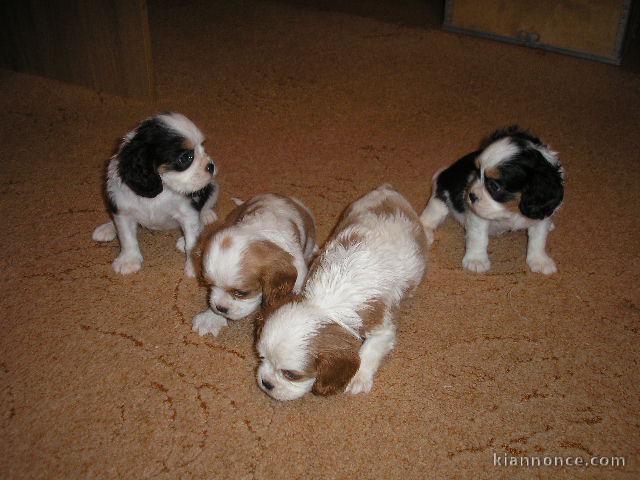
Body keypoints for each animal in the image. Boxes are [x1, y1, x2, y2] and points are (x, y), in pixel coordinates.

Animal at [91, 112, 219, 276]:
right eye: (185, 157)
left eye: (203, 148)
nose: (211, 166)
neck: (163, 188)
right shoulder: (122, 209)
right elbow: (126, 237)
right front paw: (129, 260)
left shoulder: (188, 213)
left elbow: (191, 241)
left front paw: (193, 265)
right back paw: (107, 228)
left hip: (213, 187)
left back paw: (205, 217)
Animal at [254, 186, 424, 400]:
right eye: (261, 357)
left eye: (291, 375)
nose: (266, 383)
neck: (325, 304)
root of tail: (387, 190)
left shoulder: (381, 328)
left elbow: (371, 349)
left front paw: (358, 377)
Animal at [422, 124, 564, 274]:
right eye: (476, 172)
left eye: (494, 186)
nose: (471, 195)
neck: (512, 210)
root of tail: (444, 172)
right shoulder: (478, 215)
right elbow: (478, 238)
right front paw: (476, 260)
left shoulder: (542, 216)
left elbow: (538, 239)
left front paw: (540, 260)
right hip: (441, 199)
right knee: (431, 216)